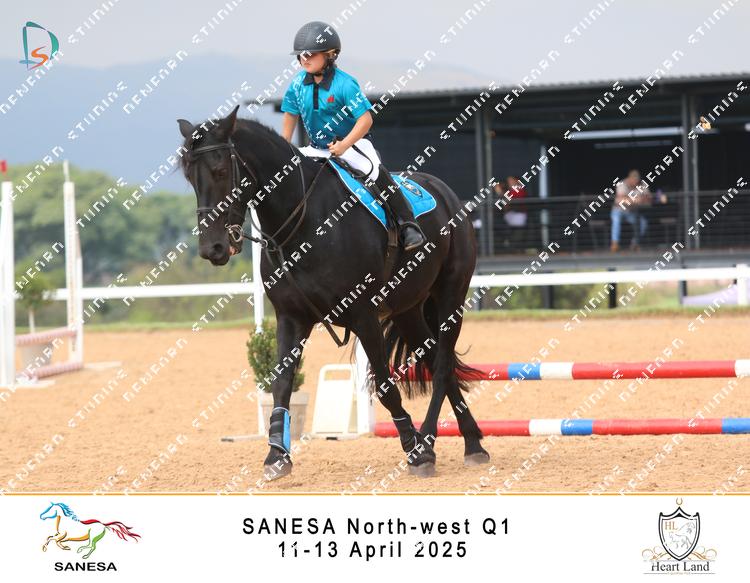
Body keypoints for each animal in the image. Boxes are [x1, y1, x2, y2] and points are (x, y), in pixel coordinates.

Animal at [177, 104, 489, 479]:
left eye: (221, 170)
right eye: (190, 178)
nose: (213, 248)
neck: (304, 222)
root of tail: (443, 191)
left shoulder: (364, 315)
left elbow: (385, 387)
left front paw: (413, 449)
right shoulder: (291, 317)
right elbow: (281, 384)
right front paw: (276, 455)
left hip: (451, 297)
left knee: (442, 367)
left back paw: (429, 446)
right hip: (408, 311)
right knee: (438, 363)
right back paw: (472, 443)